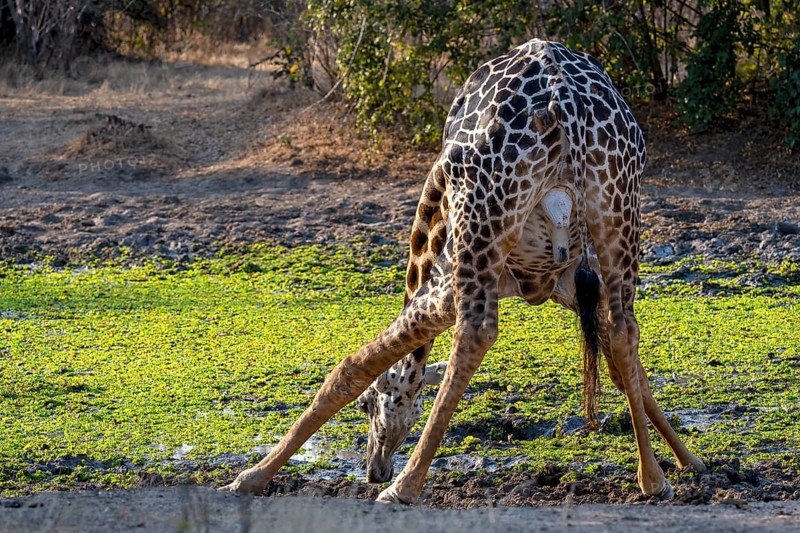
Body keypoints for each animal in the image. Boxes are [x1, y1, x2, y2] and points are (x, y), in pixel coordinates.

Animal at [222, 38, 706, 503]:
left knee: (476, 332)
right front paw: (688, 462)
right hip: (617, 212)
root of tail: (564, 104)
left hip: (483, 224)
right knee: (626, 327)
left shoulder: (443, 286)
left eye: (369, 406)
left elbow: (353, 366)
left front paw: (249, 478)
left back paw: (406, 488)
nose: (375, 469)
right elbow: (629, 371)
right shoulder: (566, 284)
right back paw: (651, 480)